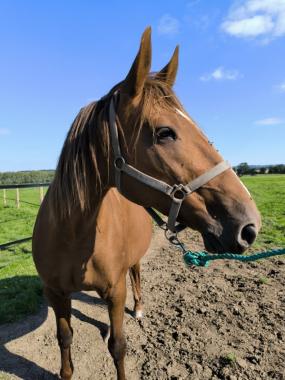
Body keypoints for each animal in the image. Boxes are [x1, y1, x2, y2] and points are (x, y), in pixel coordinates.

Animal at [32, 27, 260, 380]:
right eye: (165, 132)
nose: (249, 225)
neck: (73, 235)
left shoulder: (115, 292)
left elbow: (118, 347)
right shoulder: (55, 293)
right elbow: (65, 340)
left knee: (136, 274)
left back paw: (138, 308)